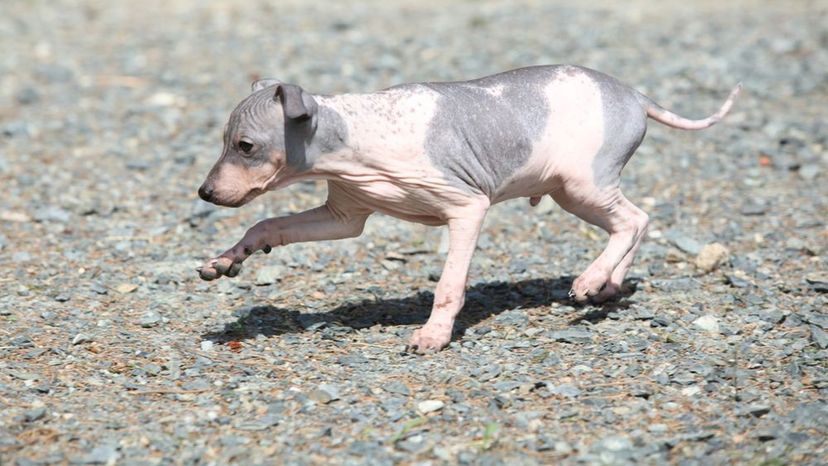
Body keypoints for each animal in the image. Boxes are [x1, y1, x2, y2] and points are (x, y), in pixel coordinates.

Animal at [197, 64, 740, 354]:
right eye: (226, 142)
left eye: (245, 146)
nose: (204, 193)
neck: (355, 137)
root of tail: (634, 93)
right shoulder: (345, 218)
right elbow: (268, 222)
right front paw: (227, 259)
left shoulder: (467, 207)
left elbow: (450, 285)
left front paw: (434, 335)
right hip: (573, 192)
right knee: (631, 224)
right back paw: (606, 284)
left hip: (582, 184)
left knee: (634, 220)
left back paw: (590, 280)